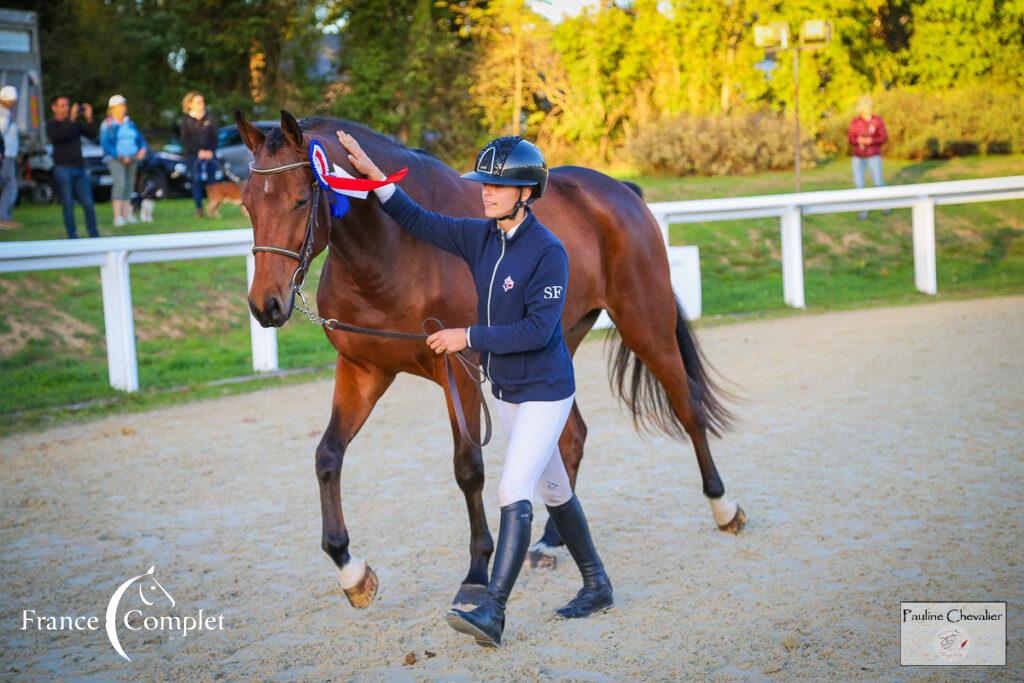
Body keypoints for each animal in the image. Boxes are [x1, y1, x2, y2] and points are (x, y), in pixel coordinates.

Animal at [243, 111, 749, 610]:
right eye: (248, 204)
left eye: (300, 200)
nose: (266, 305)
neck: (393, 250)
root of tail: (621, 191)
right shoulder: (363, 369)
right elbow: (328, 456)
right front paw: (351, 571)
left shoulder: (458, 369)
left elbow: (468, 468)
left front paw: (475, 573)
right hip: (558, 346)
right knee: (571, 438)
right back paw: (548, 542)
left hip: (646, 325)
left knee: (688, 408)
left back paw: (724, 507)